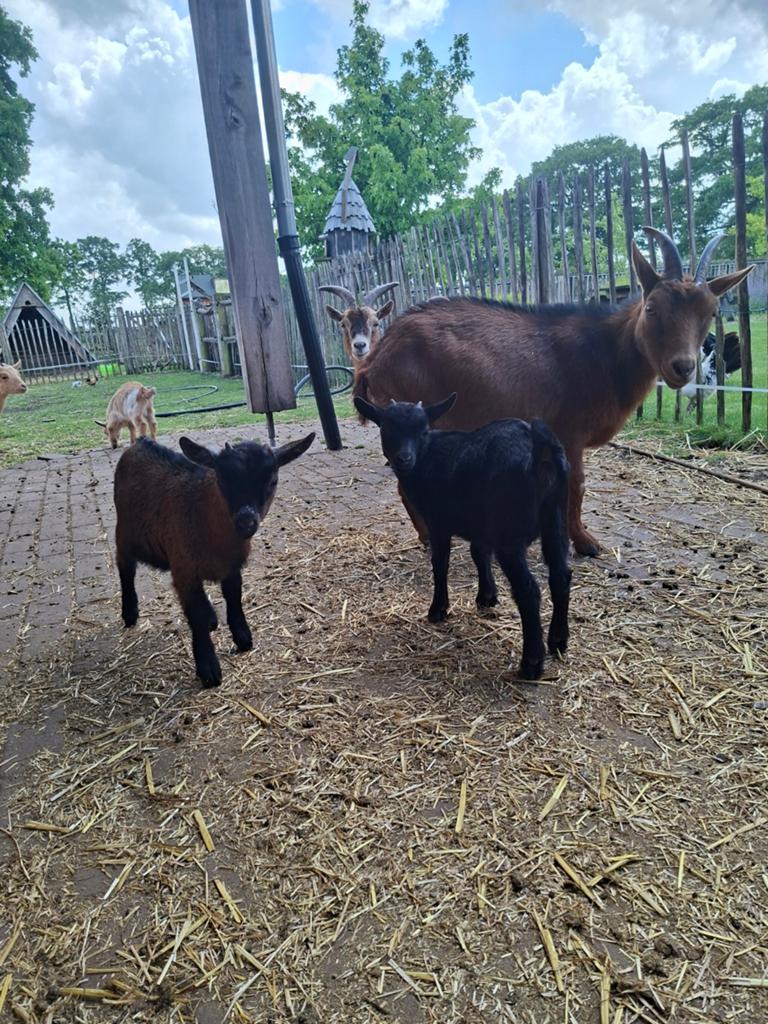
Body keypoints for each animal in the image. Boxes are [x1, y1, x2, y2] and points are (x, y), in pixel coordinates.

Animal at [114, 432, 314, 687]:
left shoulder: (231, 566)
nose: (246, 521)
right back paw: (130, 613)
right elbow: (195, 613)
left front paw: (243, 637)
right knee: (125, 569)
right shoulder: (184, 568)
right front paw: (208, 668)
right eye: (222, 479)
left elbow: (233, 597)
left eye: (272, 481)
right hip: (124, 534)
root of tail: (140, 442)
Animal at [354, 229, 753, 556]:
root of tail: (374, 357)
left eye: (711, 312)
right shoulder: (569, 431)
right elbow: (575, 486)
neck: (608, 352)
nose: (682, 367)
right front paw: (585, 542)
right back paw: (428, 535)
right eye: (652, 307)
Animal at [355, 394, 571, 681]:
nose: (404, 458)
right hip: (556, 519)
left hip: (509, 533)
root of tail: (539, 447)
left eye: (423, 430)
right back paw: (558, 641)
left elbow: (440, 564)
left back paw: (531, 663)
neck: (426, 457)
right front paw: (487, 597)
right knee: (560, 575)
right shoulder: (479, 526)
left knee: (528, 590)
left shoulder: (438, 523)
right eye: (385, 429)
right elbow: (479, 554)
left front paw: (438, 609)